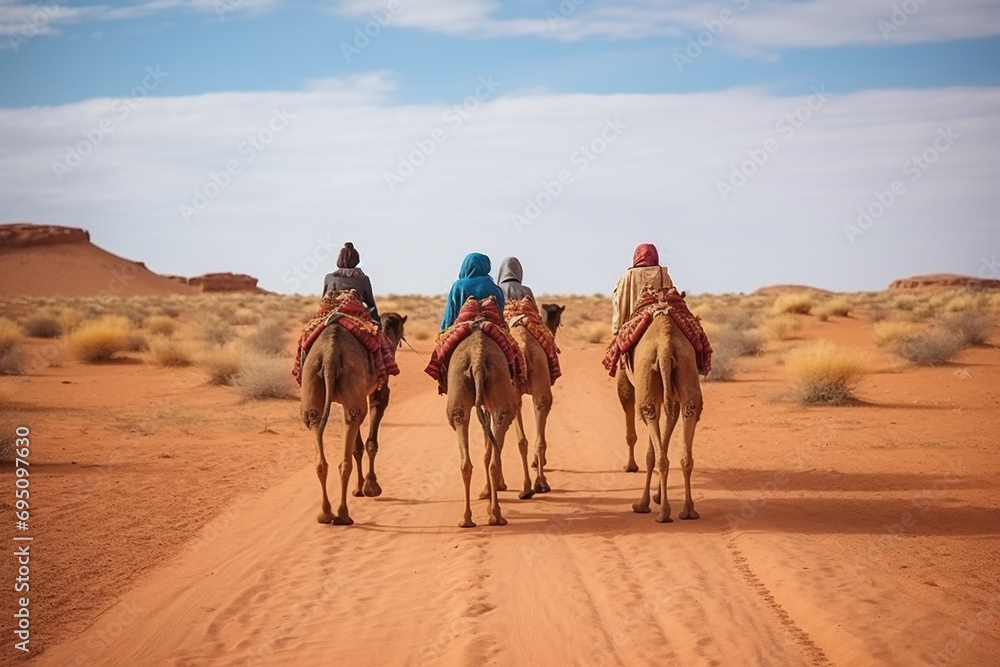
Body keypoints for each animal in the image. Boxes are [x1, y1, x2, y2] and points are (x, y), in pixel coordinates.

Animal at [300, 313, 406, 525]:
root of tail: (330, 354)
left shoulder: (349, 399)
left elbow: (357, 445)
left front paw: (359, 488)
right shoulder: (379, 387)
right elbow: (371, 438)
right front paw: (371, 487)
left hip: (313, 381)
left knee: (321, 434)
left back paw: (326, 513)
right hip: (351, 375)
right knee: (346, 457)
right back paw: (343, 515)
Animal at [446, 329, 519, 527]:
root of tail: (477, 358)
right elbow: (488, 450)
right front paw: (489, 492)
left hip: (459, 397)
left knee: (467, 461)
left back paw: (468, 519)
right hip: (500, 400)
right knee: (494, 456)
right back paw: (496, 516)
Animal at [617, 314, 703, 523]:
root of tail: (665, 347)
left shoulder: (627, 380)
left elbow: (646, 448)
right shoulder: (671, 398)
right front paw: (656, 495)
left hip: (647, 383)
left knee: (651, 425)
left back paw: (657, 510)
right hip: (686, 370)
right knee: (689, 415)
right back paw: (688, 510)